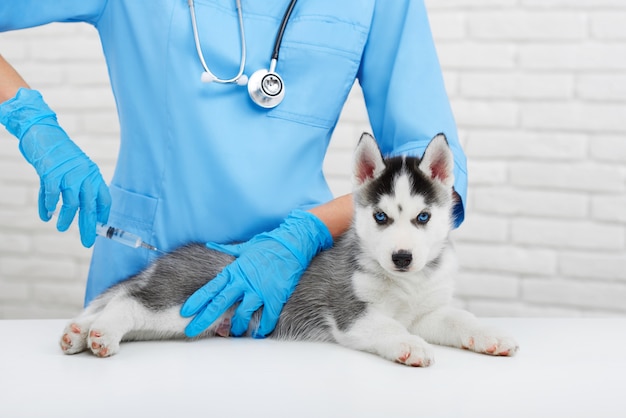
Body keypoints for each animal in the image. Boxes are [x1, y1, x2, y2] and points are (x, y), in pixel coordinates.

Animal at [59, 134, 516, 366]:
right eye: (381, 217)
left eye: (423, 217)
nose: (401, 258)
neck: (404, 284)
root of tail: (167, 257)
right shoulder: (350, 313)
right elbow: (389, 327)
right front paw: (412, 346)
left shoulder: (427, 312)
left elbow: (458, 318)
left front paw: (491, 336)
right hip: (181, 302)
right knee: (130, 303)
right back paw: (101, 333)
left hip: (184, 323)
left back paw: (79, 333)